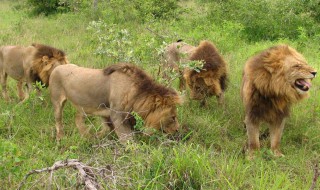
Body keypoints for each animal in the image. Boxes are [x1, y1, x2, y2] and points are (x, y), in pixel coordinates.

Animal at [48, 62, 181, 142]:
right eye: (173, 117)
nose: (177, 130)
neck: (136, 94)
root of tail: (58, 66)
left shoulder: (111, 114)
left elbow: (108, 129)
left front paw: (99, 137)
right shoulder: (117, 115)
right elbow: (128, 139)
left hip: (83, 107)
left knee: (77, 119)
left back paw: (86, 136)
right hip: (57, 102)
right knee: (58, 121)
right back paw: (61, 138)